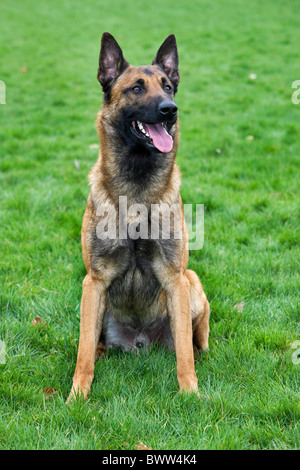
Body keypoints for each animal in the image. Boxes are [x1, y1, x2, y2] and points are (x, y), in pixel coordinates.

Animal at [68, 33, 210, 400]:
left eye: (168, 87)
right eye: (136, 88)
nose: (169, 110)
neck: (136, 187)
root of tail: (140, 342)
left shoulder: (175, 278)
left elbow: (184, 354)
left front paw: (190, 394)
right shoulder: (94, 280)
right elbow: (83, 352)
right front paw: (77, 396)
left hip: (191, 282)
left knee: (195, 341)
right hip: (90, 301)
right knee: (92, 341)